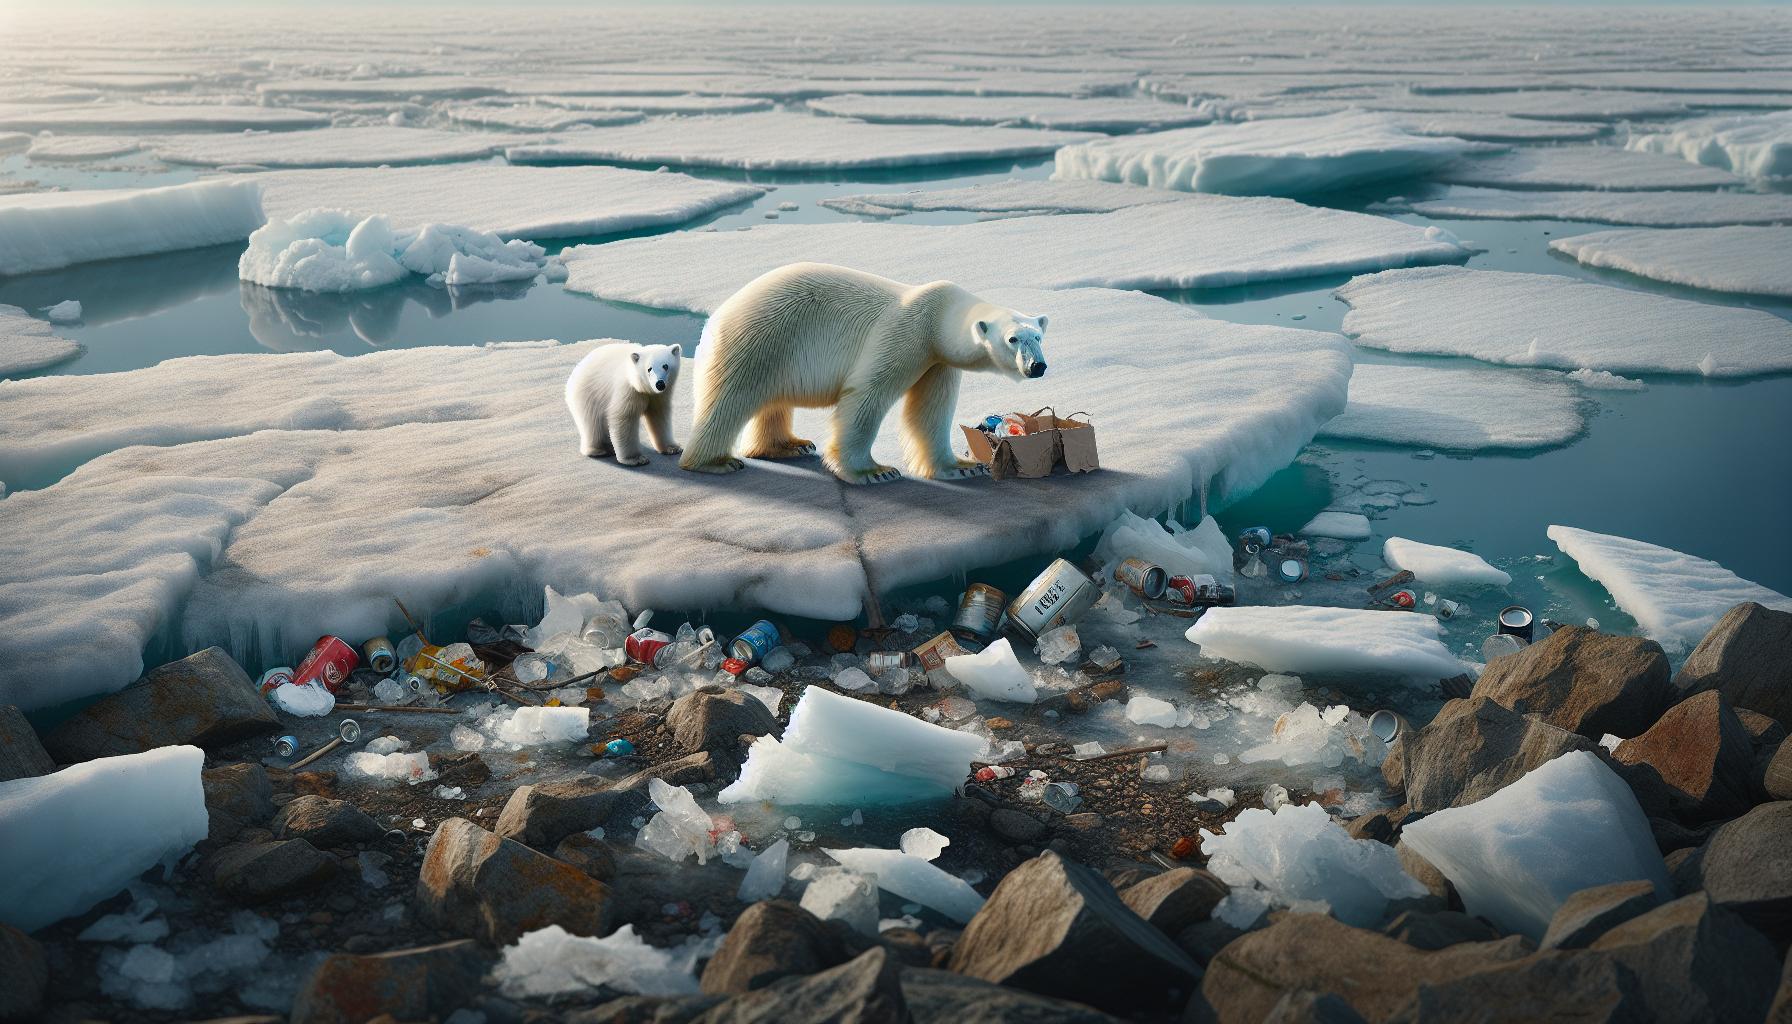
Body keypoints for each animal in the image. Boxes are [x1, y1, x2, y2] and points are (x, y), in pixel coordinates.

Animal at [679, 262, 1049, 485]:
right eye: (1013, 339)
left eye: (1038, 336)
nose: (1038, 366)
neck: (938, 317)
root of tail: (714, 318)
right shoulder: (906, 334)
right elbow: (867, 395)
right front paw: (874, 471)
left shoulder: (936, 360)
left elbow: (931, 411)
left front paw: (964, 466)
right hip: (758, 337)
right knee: (730, 399)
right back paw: (714, 461)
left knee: (772, 401)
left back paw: (789, 445)